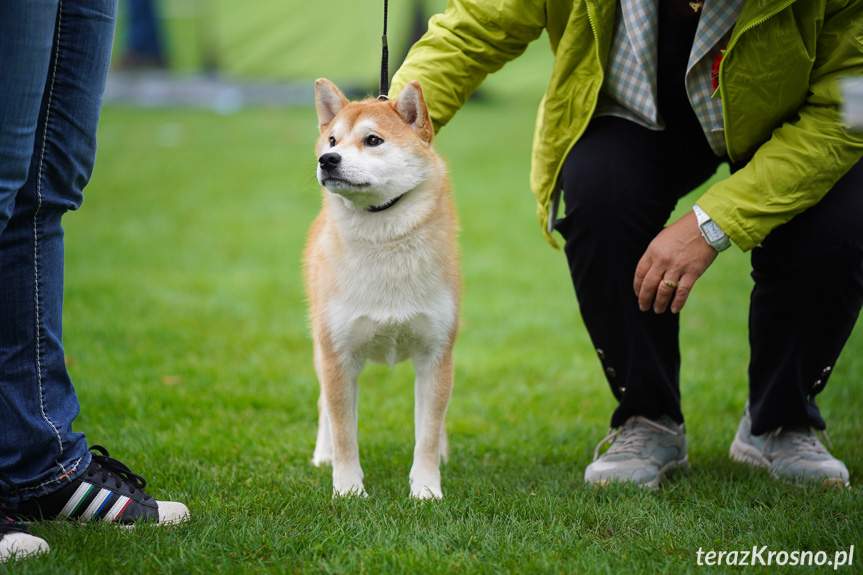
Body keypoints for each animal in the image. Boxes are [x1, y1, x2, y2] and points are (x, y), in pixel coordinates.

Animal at [308, 80, 462, 500]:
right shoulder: (338, 357)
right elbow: (345, 433)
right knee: (323, 406)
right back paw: (322, 455)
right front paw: (348, 489)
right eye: (333, 139)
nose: (327, 159)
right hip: (320, 349)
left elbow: (427, 433)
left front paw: (426, 489)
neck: (384, 240)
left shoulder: (436, 356)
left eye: (373, 140)